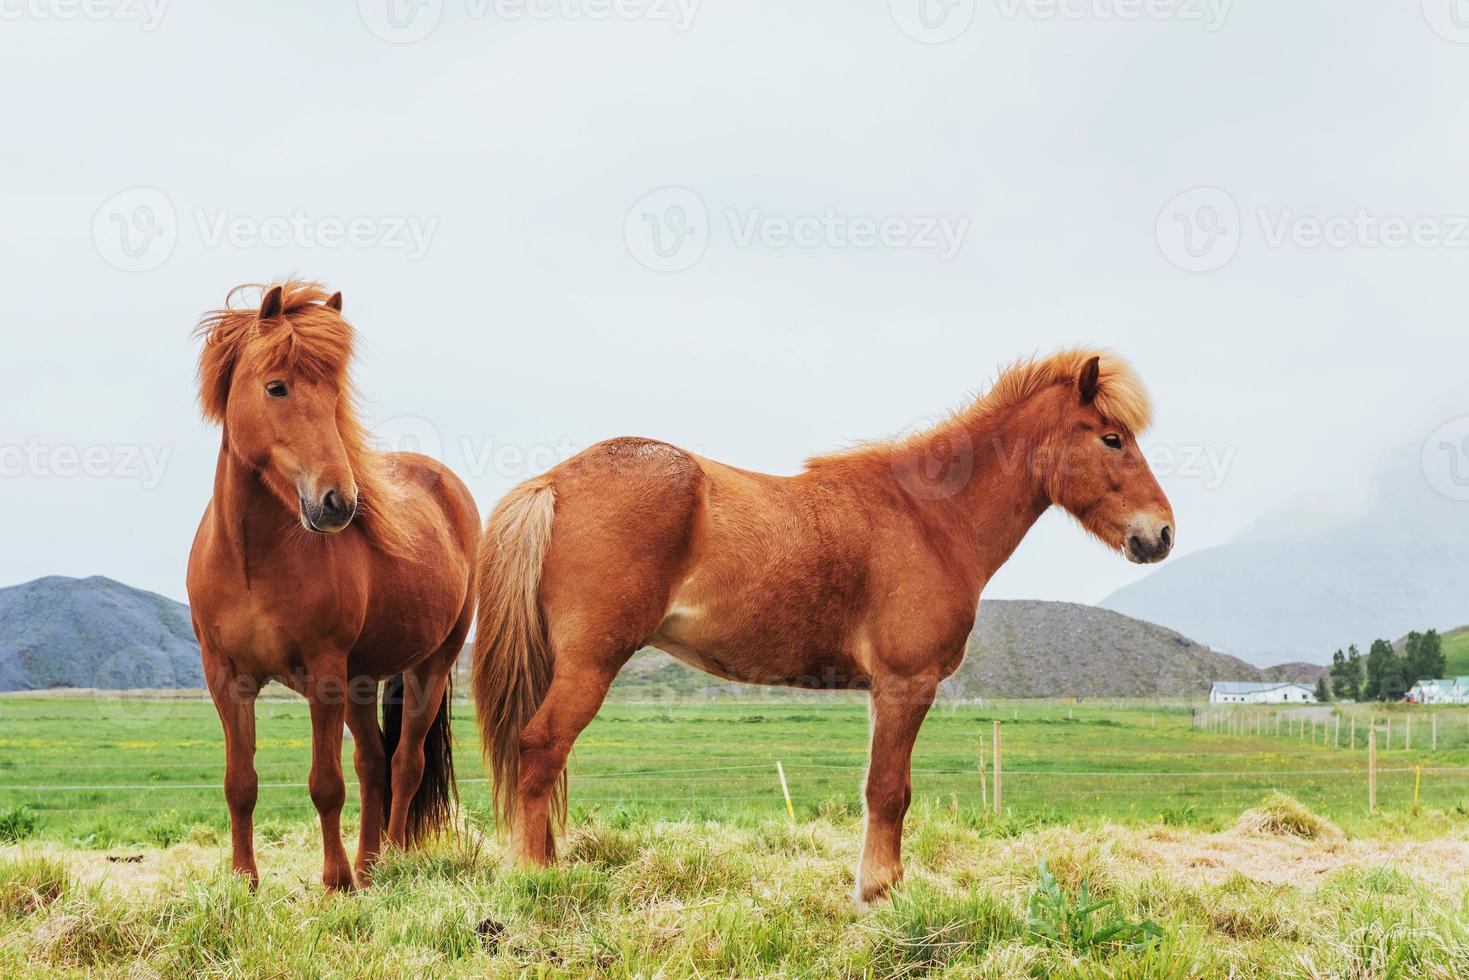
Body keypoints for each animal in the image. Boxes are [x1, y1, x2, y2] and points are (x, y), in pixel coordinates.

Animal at [186, 279, 478, 893]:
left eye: (335, 393)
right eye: (277, 387)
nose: (338, 503)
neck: (251, 562)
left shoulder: (323, 676)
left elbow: (326, 783)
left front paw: (335, 881)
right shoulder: (226, 678)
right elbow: (239, 783)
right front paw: (244, 881)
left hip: (430, 666)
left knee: (404, 763)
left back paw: (391, 859)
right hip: (362, 682)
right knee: (373, 763)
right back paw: (371, 863)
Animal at [475, 351, 1175, 905]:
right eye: (1112, 438)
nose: (1161, 534)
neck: (929, 518)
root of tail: (554, 481)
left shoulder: (882, 692)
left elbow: (880, 789)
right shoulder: (905, 685)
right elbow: (890, 791)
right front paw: (880, 892)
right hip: (590, 665)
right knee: (540, 747)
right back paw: (534, 877)